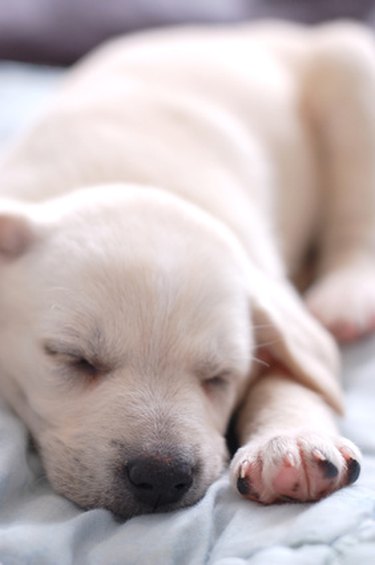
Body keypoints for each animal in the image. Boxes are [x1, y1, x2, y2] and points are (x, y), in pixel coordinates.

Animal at [0, 20, 374, 516]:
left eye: (218, 376)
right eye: (72, 358)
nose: (161, 477)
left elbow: (293, 374)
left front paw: (292, 443)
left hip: (350, 67)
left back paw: (347, 297)